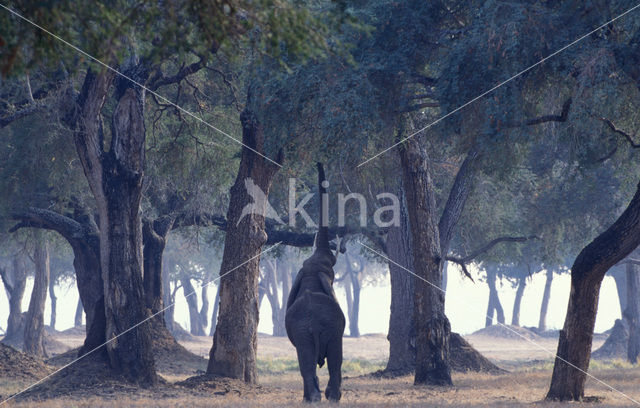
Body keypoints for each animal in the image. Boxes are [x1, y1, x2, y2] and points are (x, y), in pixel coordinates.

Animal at [284, 163, 344, 402]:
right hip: (320, 330)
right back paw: (325, 397)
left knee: (310, 362)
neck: (311, 275)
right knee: (332, 360)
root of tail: (315, 324)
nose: (319, 163)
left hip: (309, 331)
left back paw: (317, 398)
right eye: (331, 269)